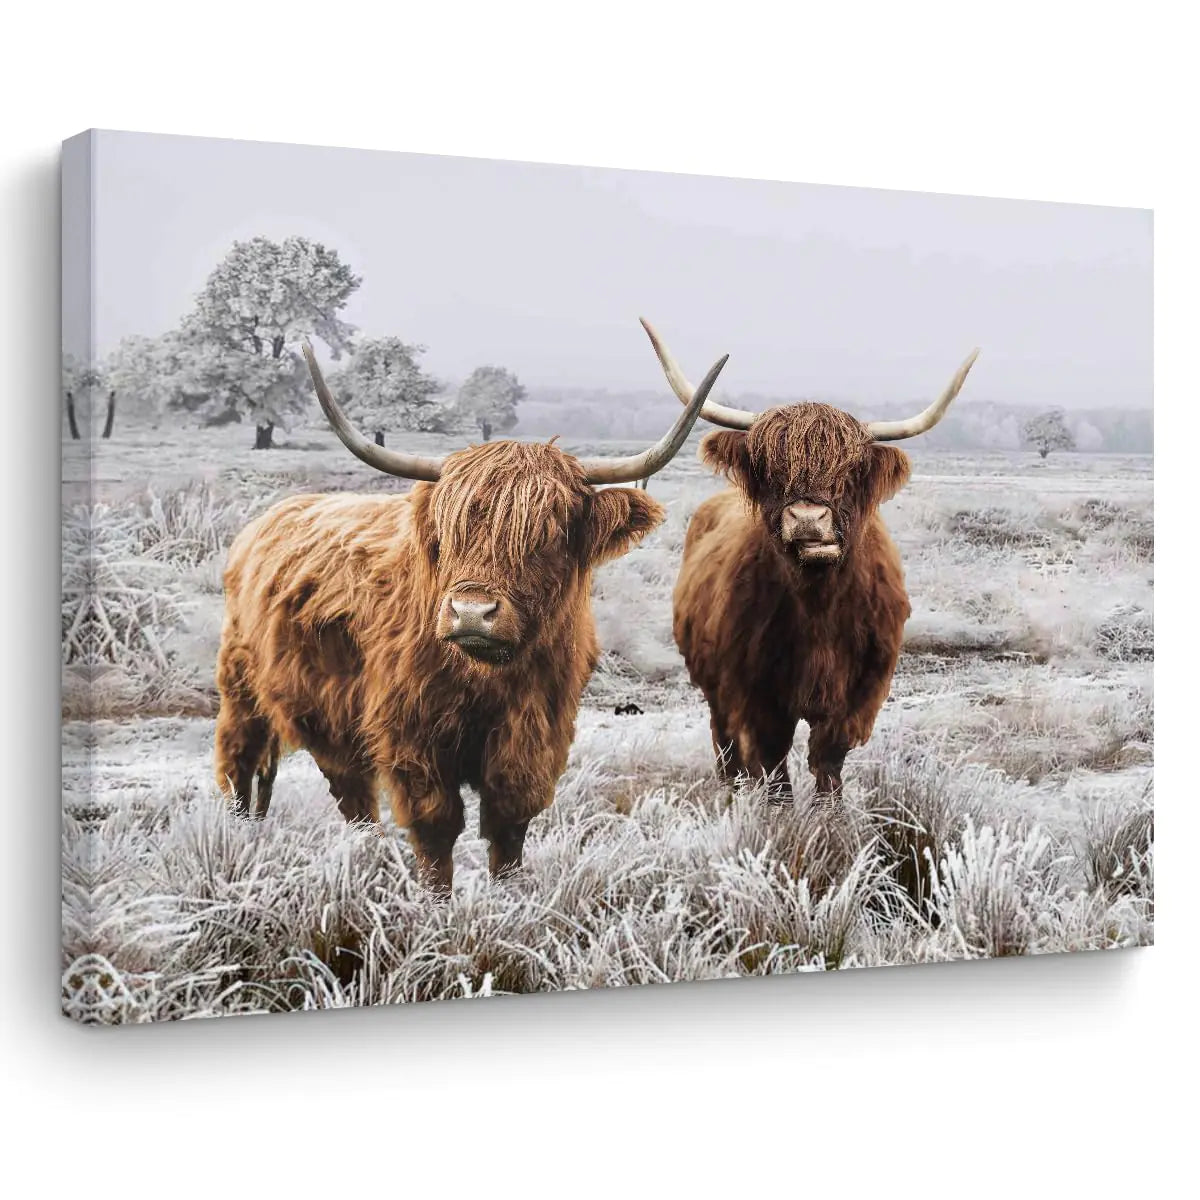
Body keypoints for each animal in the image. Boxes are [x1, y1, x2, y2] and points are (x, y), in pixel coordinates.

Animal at [213, 337, 728, 890]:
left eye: (548, 535)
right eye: (447, 532)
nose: (471, 614)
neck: (486, 681)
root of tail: (265, 521)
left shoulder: (534, 737)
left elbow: (508, 827)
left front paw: (508, 895)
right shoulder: (411, 739)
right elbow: (436, 831)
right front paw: (437, 902)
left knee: (350, 794)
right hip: (242, 692)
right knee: (239, 764)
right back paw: (240, 836)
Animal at [641, 319, 978, 804]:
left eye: (851, 471)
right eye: (768, 469)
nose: (806, 519)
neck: (818, 608)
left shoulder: (859, 694)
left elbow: (828, 760)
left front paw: (830, 814)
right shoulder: (754, 694)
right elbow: (772, 762)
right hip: (713, 687)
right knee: (726, 746)